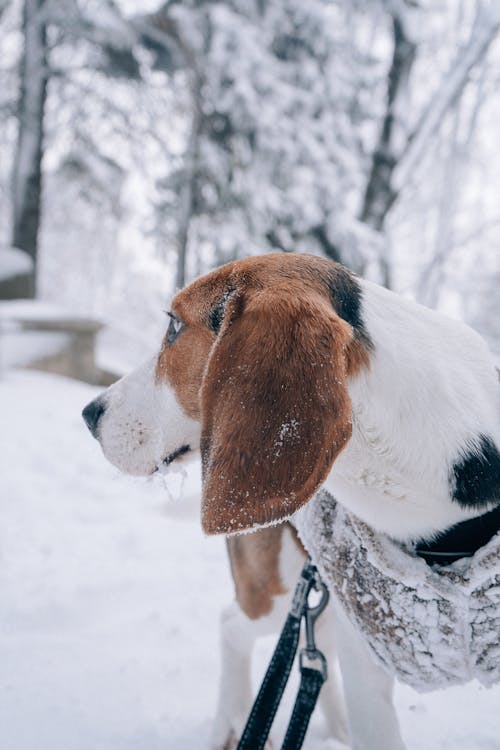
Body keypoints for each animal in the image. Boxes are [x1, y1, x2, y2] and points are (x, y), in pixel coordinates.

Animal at [83, 254, 500, 750]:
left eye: (174, 326)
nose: (90, 414)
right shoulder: (367, 667)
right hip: (280, 589)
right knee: (233, 626)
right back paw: (232, 725)